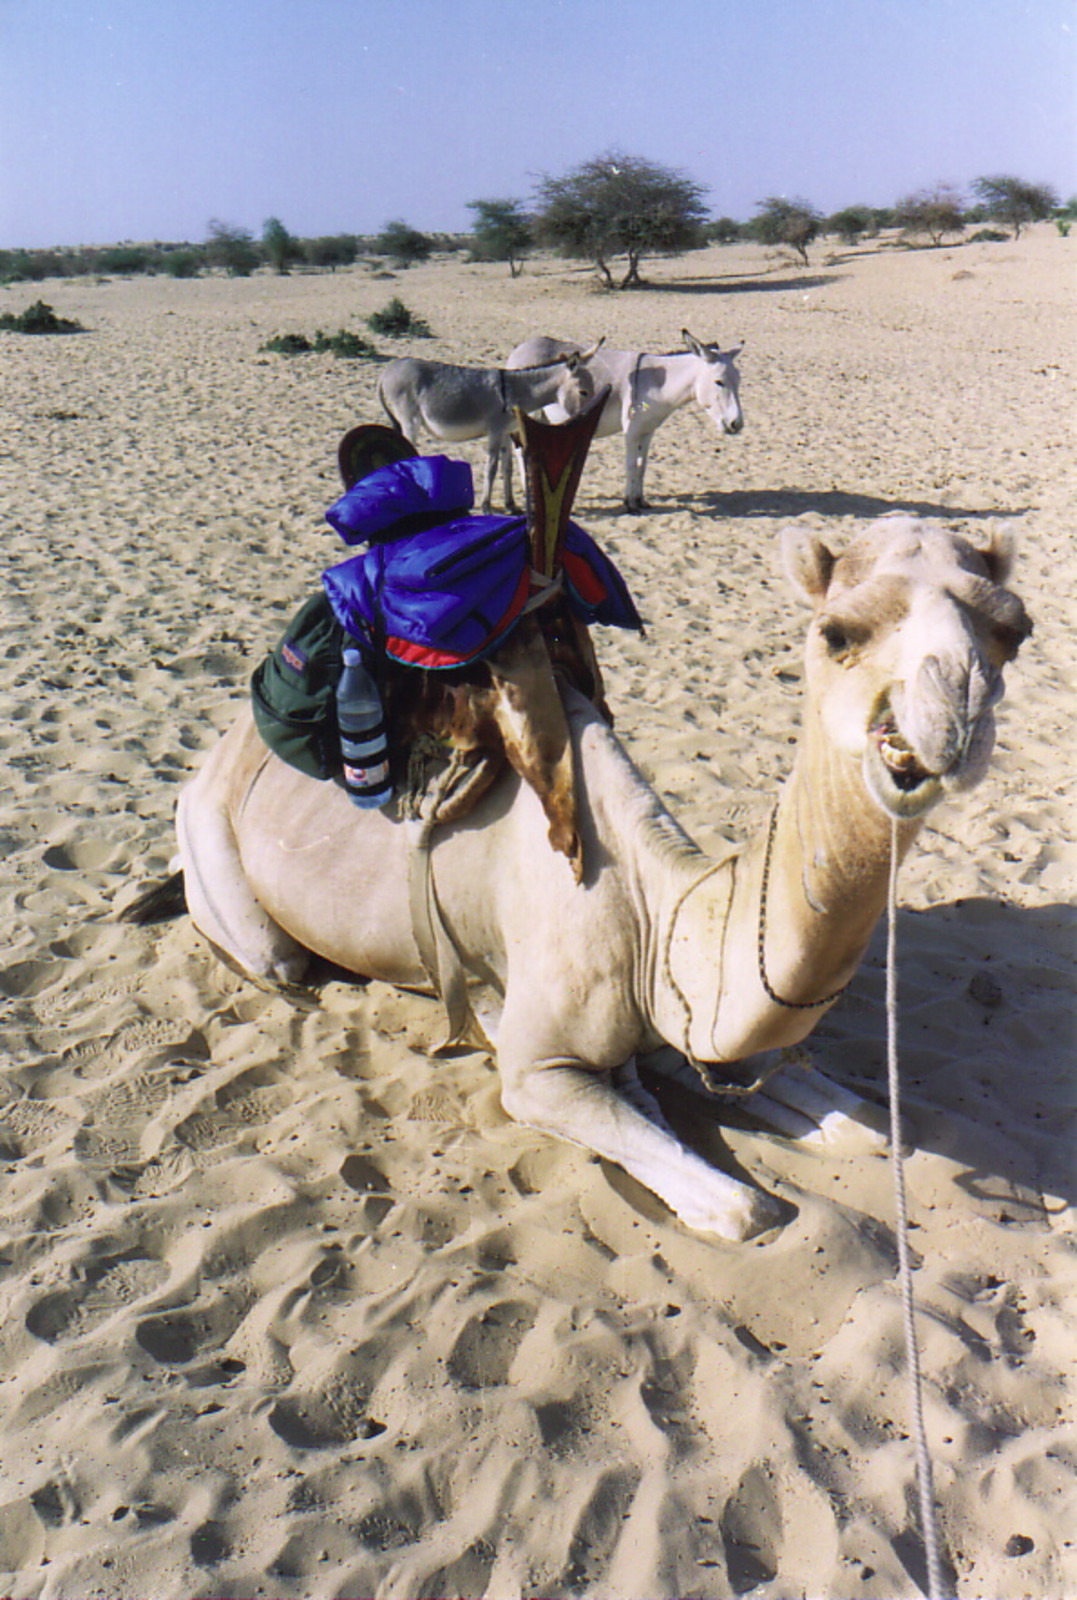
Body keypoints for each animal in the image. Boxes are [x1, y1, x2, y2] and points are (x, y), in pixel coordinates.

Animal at [153, 518, 1024, 1241]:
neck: (653, 914)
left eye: (1012, 632)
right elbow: (744, 1209)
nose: (955, 714)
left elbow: (868, 1125)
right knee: (274, 958)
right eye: (837, 632)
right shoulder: (538, 1074)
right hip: (226, 871)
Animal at [376, 350, 595, 512]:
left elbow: (508, 468)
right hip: (410, 421)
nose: (588, 419)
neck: (516, 391)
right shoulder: (496, 431)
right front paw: (486, 506)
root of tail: (388, 370)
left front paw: (511, 505)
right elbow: (492, 468)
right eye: (583, 392)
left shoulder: (506, 433)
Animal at [505, 331, 739, 512]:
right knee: (519, 451)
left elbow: (642, 466)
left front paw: (640, 500)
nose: (737, 424)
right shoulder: (632, 431)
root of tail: (517, 352)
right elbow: (631, 465)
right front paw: (629, 503)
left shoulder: (648, 431)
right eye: (719, 382)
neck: (657, 384)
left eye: (739, 381)